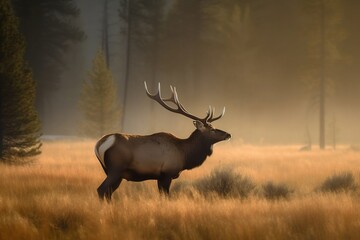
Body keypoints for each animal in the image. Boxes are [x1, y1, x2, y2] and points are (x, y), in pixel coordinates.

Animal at [95, 82, 231, 201]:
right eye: (212, 130)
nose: (228, 134)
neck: (185, 154)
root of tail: (98, 144)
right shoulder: (167, 173)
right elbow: (166, 197)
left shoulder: (159, 177)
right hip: (116, 169)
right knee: (101, 190)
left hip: (112, 171)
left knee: (108, 193)